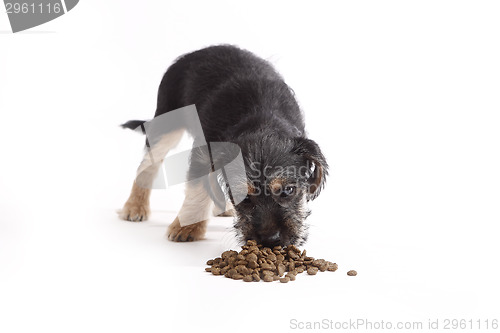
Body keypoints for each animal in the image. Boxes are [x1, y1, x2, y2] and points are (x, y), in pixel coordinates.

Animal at [118, 44, 326, 246]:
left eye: (288, 190)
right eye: (244, 197)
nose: (270, 240)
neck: (261, 118)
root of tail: (197, 51)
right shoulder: (202, 154)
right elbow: (198, 189)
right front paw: (187, 227)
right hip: (167, 126)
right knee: (148, 165)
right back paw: (135, 206)